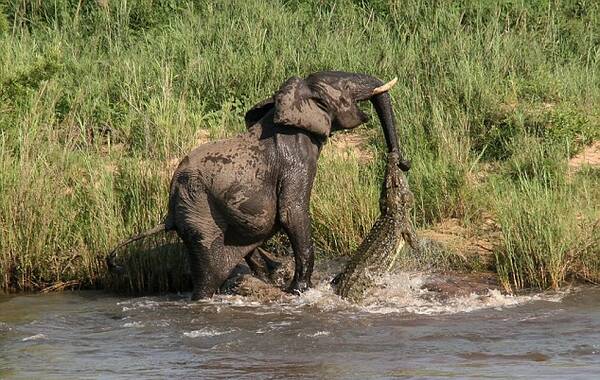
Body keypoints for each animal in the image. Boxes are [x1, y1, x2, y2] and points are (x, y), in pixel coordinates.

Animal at [108, 70, 410, 298]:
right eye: (346, 86)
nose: (401, 162)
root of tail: (169, 212)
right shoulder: (296, 158)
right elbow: (292, 213)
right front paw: (300, 290)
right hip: (199, 216)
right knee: (207, 275)